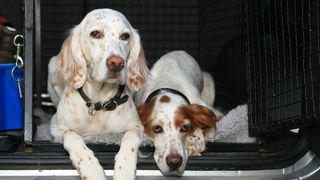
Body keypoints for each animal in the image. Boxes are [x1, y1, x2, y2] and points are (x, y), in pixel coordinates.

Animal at [47, 8, 149, 180]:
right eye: (95, 34)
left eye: (125, 36)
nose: (116, 63)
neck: (99, 102)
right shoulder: (57, 128)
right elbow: (73, 138)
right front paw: (92, 170)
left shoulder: (137, 127)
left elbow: (130, 139)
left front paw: (124, 171)